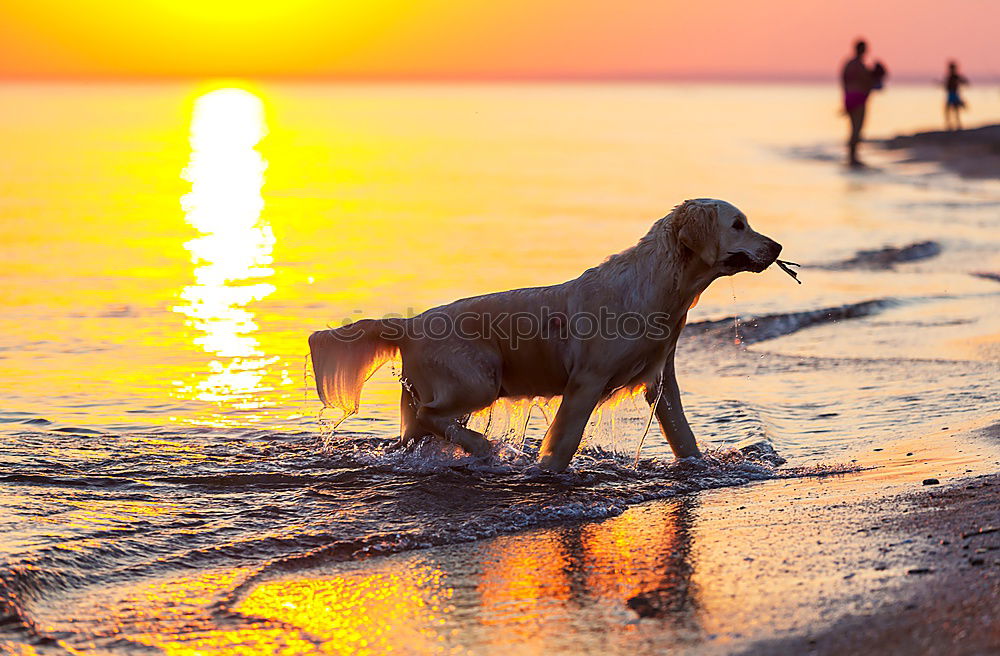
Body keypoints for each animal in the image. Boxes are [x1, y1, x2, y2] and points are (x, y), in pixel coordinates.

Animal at [308, 200, 784, 472]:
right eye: (738, 224)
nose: (778, 247)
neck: (663, 284)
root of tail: (408, 326)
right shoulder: (587, 381)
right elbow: (565, 439)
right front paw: (546, 470)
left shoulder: (660, 378)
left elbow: (682, 432)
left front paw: (698, 466)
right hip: (478, 381)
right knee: (431, 416)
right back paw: (484, 448)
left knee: (417, 432)